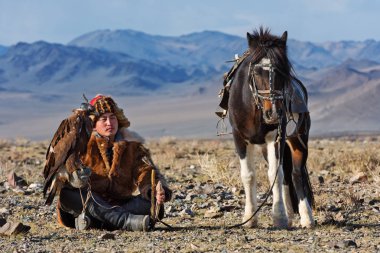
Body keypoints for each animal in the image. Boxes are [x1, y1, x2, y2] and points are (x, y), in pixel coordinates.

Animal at [229, 28, 314, 229]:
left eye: (284, 70)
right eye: (256, 70)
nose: (274, 113)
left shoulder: (276, 137)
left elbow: (276, 174)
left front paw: (279, 217)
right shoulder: (239, 138)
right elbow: (249, 175)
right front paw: (249, 218)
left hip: (298, 139)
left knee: (296, 174)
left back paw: (306, 217)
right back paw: (291, 215)